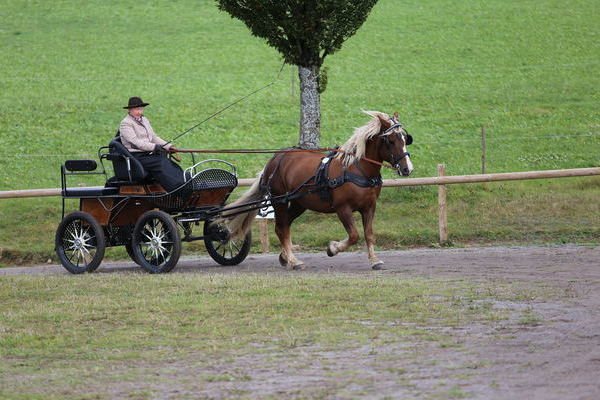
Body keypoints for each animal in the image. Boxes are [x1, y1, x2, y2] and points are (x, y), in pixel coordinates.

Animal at [220, 111, 412, 270]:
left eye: (405, 138)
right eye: (391, 141)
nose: (407, 168)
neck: (356, 169)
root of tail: (275, 159)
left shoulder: (369, 207)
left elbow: (369, 234)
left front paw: (374, 260)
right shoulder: (343, 208)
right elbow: (354, 235)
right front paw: (332, 248)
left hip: (299, 203)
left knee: (286, 226)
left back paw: (285, 257)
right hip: (279, 200)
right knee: (281, 228)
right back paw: (293, 261)